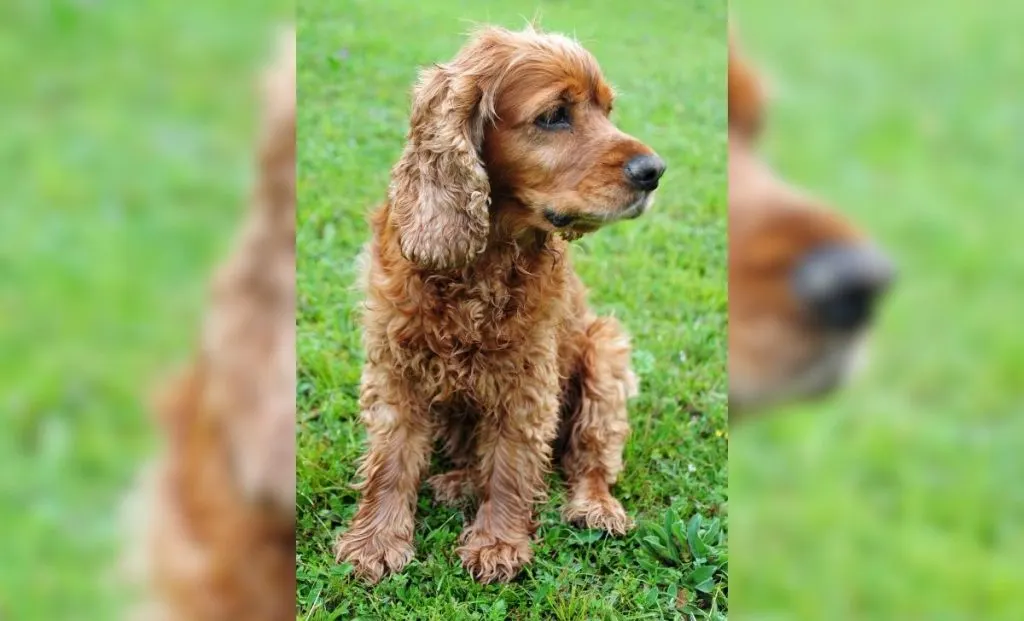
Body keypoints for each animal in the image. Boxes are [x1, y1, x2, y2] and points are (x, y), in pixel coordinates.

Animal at [329, 25, 663, 590]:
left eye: (607, 110)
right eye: (555, 115)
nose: (655, 171)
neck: (482, 259)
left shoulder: (527, 377)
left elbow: (510, 464)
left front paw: (497, 543)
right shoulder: (395, 365)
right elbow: (391, 460)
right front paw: (375, 543)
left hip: (606, 351)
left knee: (590, 458)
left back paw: (596, 508)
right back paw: (456, 483)